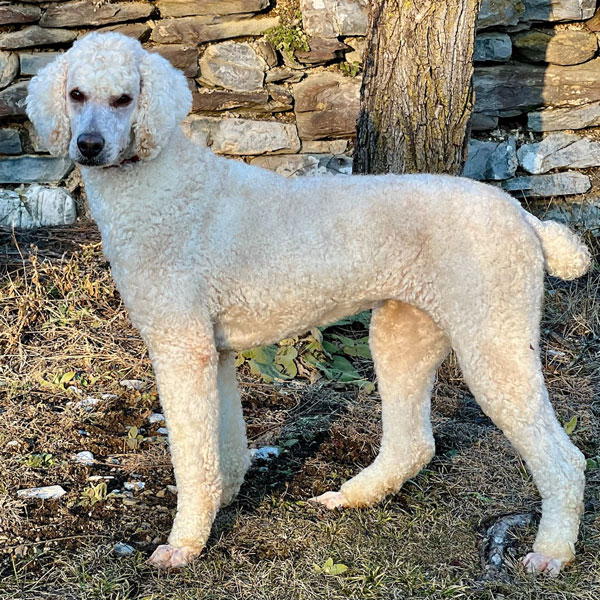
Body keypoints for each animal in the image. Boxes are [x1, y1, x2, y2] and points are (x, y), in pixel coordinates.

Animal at [27, 31, 592, 572]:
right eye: (76, 95)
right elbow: (222, 445)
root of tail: (527, 219)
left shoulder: (181, 347)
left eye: (124, 99)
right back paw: (352, 497)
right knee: (413, 444)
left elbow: (192, 456)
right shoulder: (216, 353)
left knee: (566, 462)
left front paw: (185, 542)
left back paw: (551, 553)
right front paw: (223, 499)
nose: (89, 145)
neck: (160, 185)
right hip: (403, 332)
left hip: (493, 338)